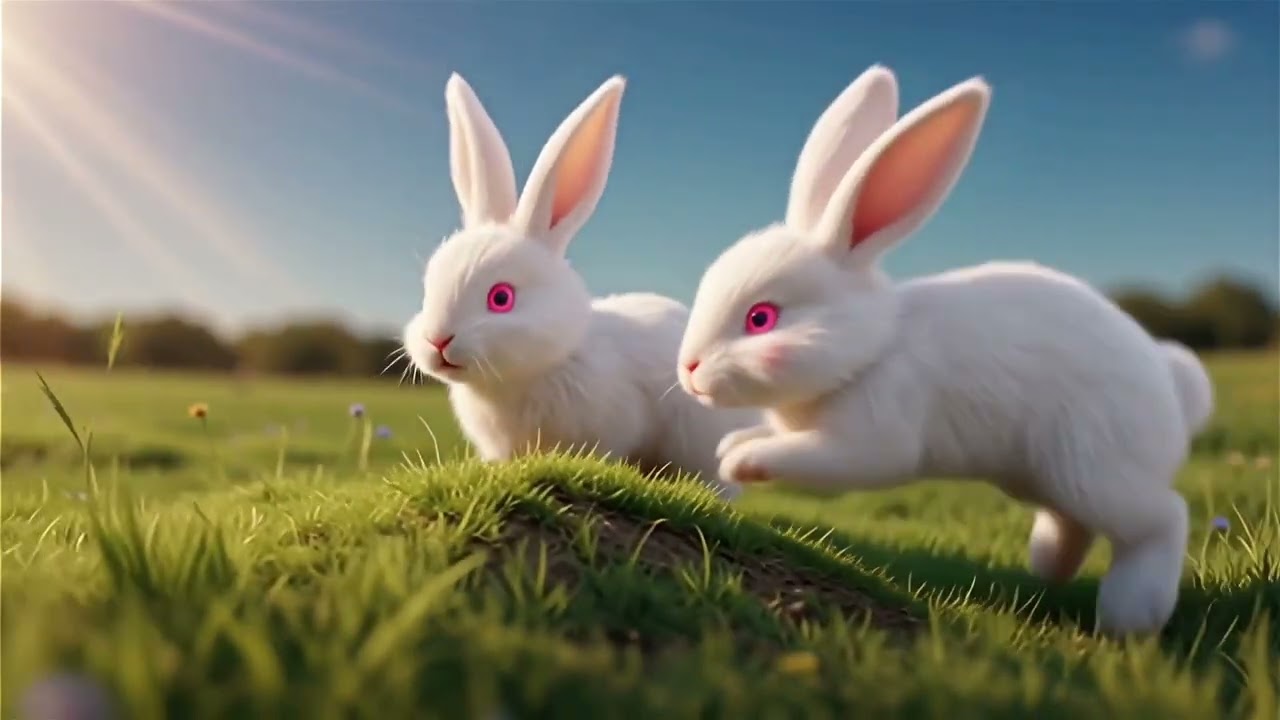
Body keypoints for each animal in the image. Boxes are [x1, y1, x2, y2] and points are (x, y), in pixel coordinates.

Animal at [674, 64, 1214, 636]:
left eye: (761, 318)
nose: (688, 370)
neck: (870, 348)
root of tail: (1172, 388)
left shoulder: (872, 438)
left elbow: (824, 457)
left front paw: (744, 461)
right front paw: (732, 445)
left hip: (1095, 468)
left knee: (1163, 518)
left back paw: (1130, 616)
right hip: (1043, 477)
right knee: (1078, 524)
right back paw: (1049, 565)